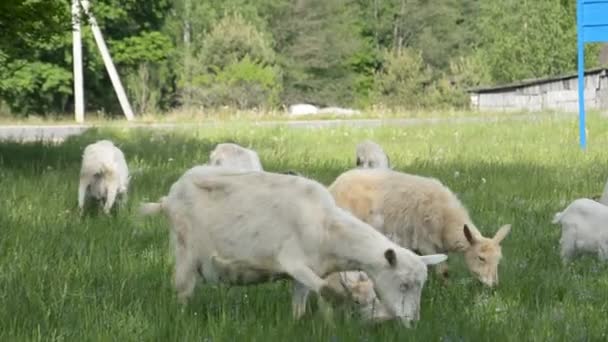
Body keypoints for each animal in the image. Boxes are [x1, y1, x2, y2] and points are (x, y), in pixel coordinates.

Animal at [140, 166, 448, 326]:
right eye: (404, 284)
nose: (414, 322)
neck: (327, 228)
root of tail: (168, 198)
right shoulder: (293, 262)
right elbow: (329, 291)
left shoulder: (304, 273)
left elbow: (301, 303)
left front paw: (300, 323)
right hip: (185, 250)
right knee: (183, 291)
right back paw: (182, 319)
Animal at [328, 168, 512, 288]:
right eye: (481, 258)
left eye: (498, 259)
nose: (494, 286)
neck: (447, 219)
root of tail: (334, 185)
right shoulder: (425, 242)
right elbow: (443, 271)